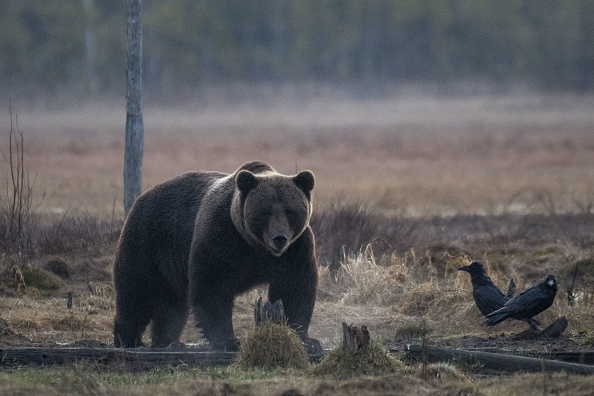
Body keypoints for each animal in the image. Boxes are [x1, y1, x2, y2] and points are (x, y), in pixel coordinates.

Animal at [113, 161, 322, 352]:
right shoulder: (221, 239)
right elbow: (212, 286)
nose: (279, 238)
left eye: (290, 210)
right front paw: (228, 340)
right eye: (266, 211)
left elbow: (294, 288)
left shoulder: (295, 249)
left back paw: (167, 340)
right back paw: (128, 340)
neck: (255, 246)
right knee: (136, 294)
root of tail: (142, 197)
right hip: (148, 243)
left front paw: (307, 339)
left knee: (172, 304)